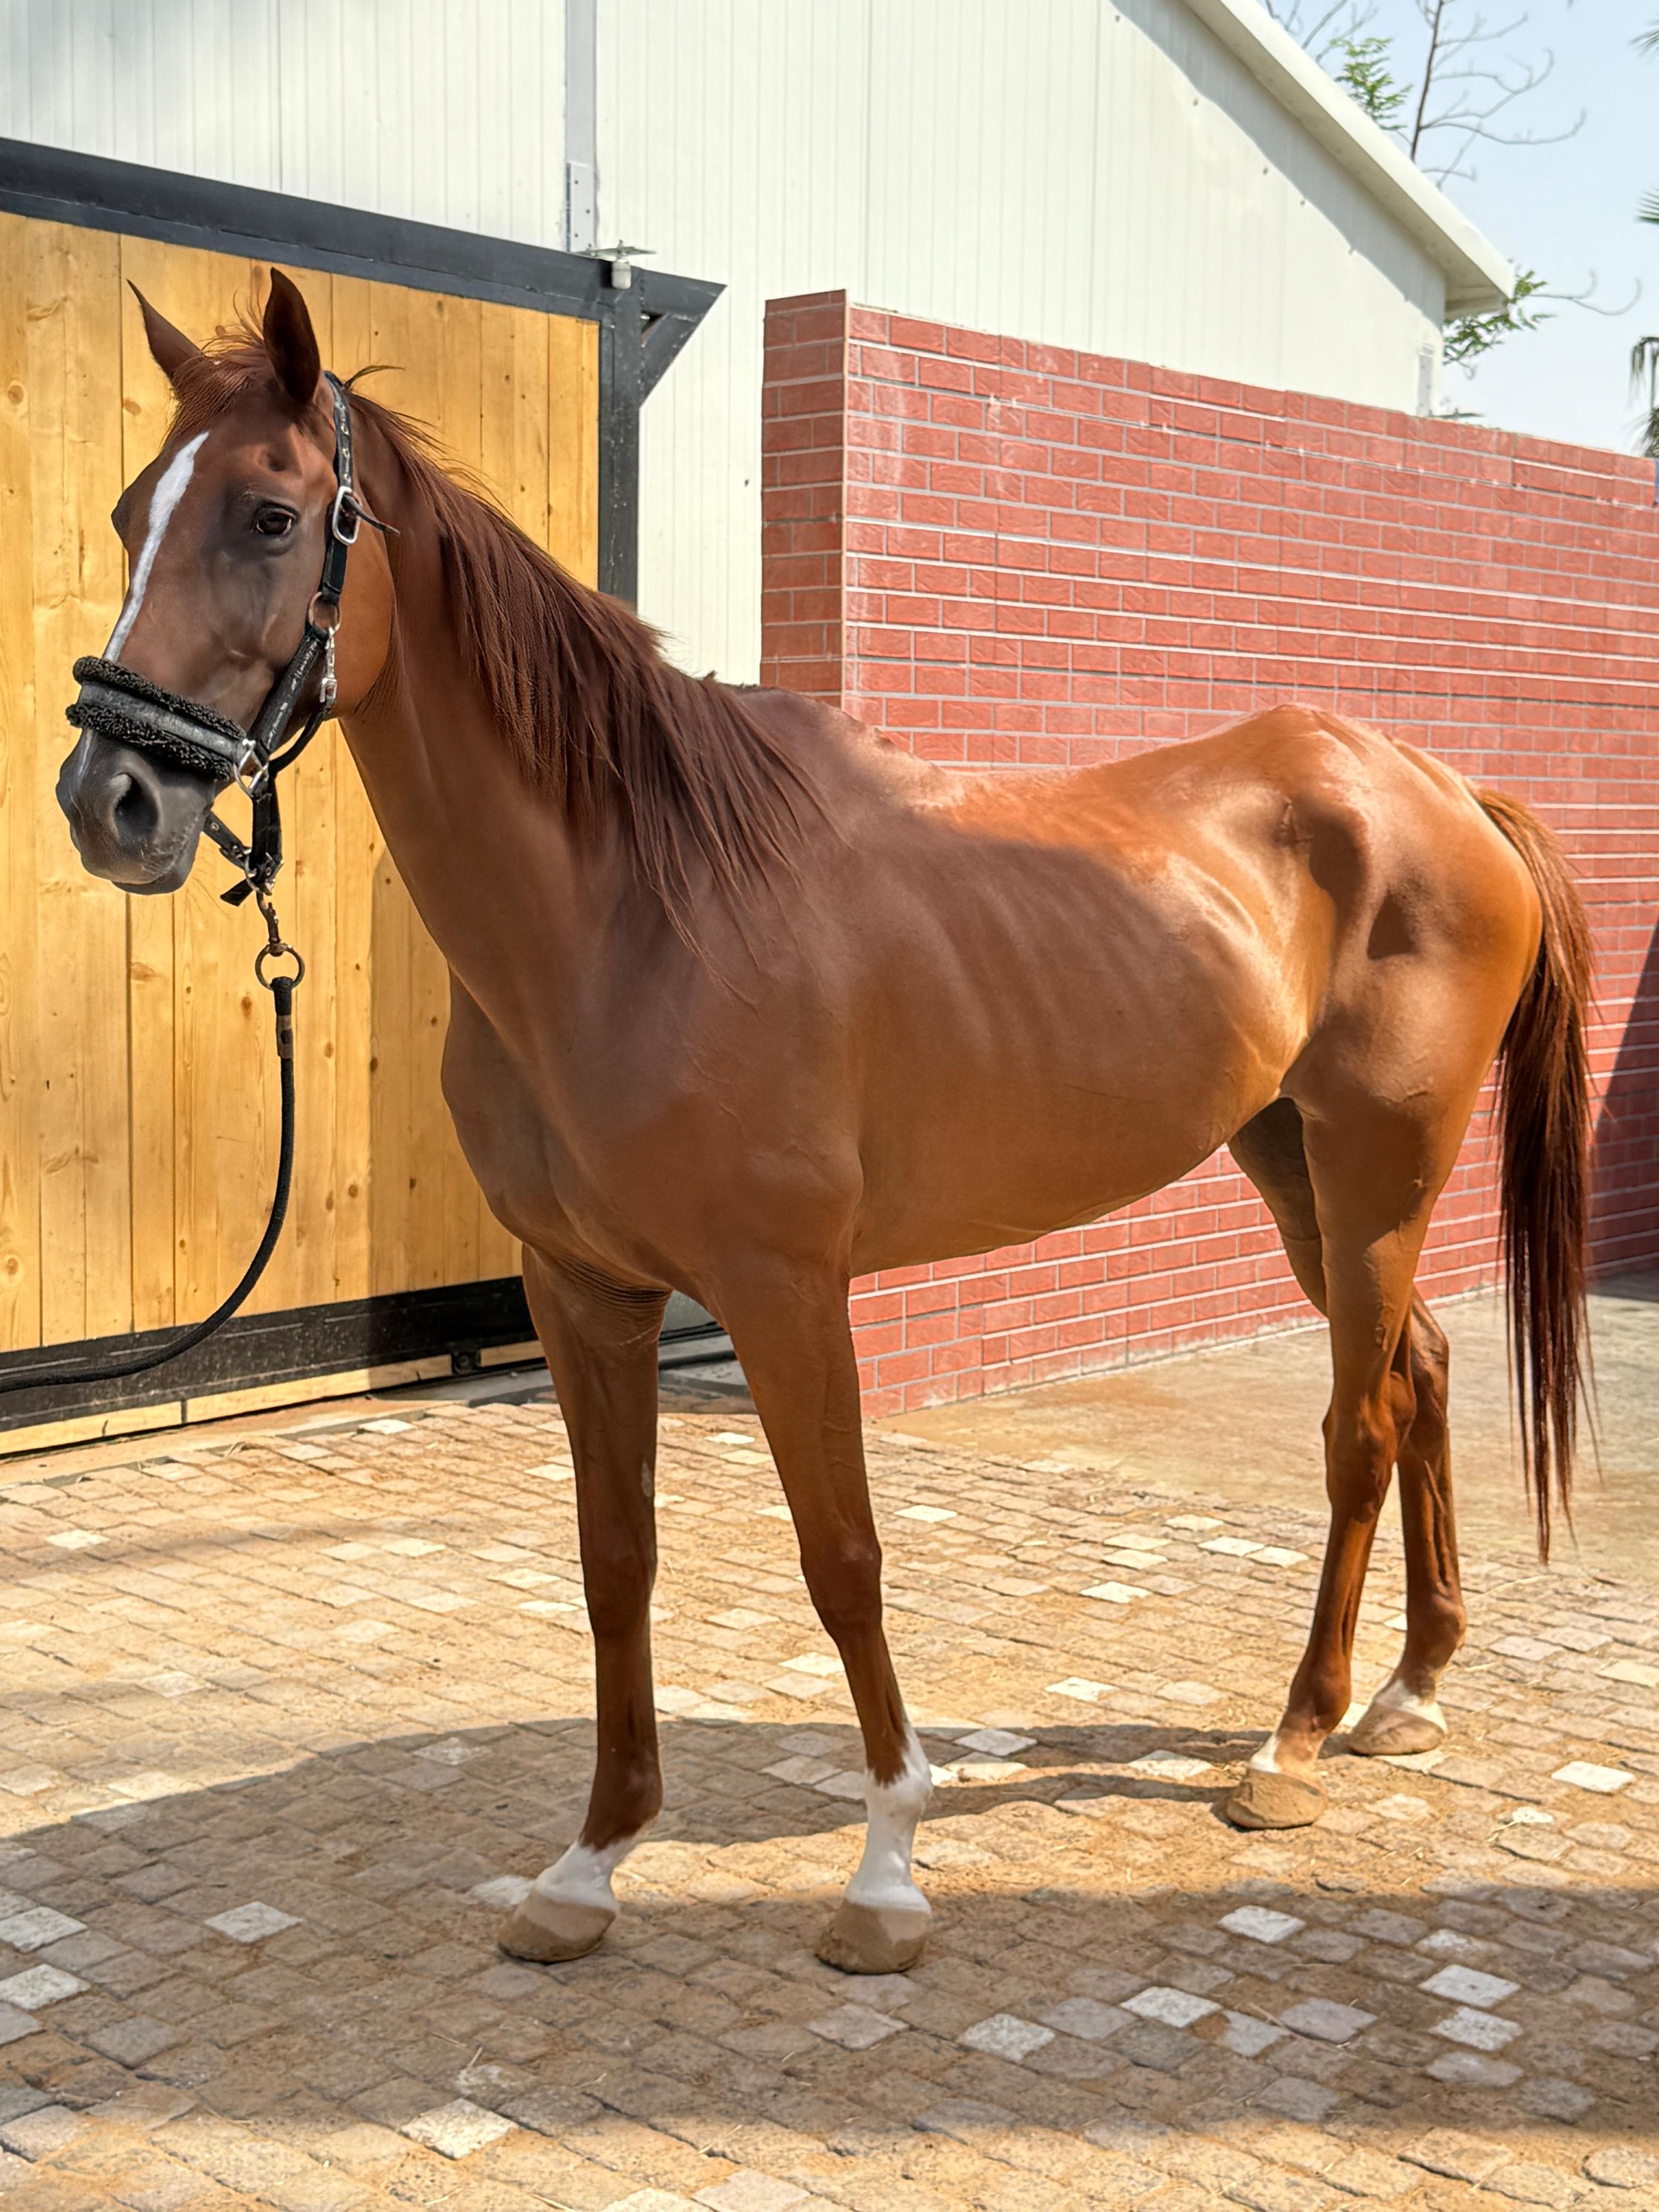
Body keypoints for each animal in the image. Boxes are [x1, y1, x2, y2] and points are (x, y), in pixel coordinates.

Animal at [55, 270, 1592, 1977]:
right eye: (130, 512)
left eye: (271, 515)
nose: (110, 800)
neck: (632, 915)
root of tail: (1440, 788)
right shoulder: (580, 1294)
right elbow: (614, 1560)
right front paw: (591, 1863)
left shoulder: (786, 1295)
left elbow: (841, 1556)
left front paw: (886, 1870)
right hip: (1293, 1167)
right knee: (1425, 1376)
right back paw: (1411, 1691)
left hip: (1376, 1167)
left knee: (1358, 1428)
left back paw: (1290, 1747)